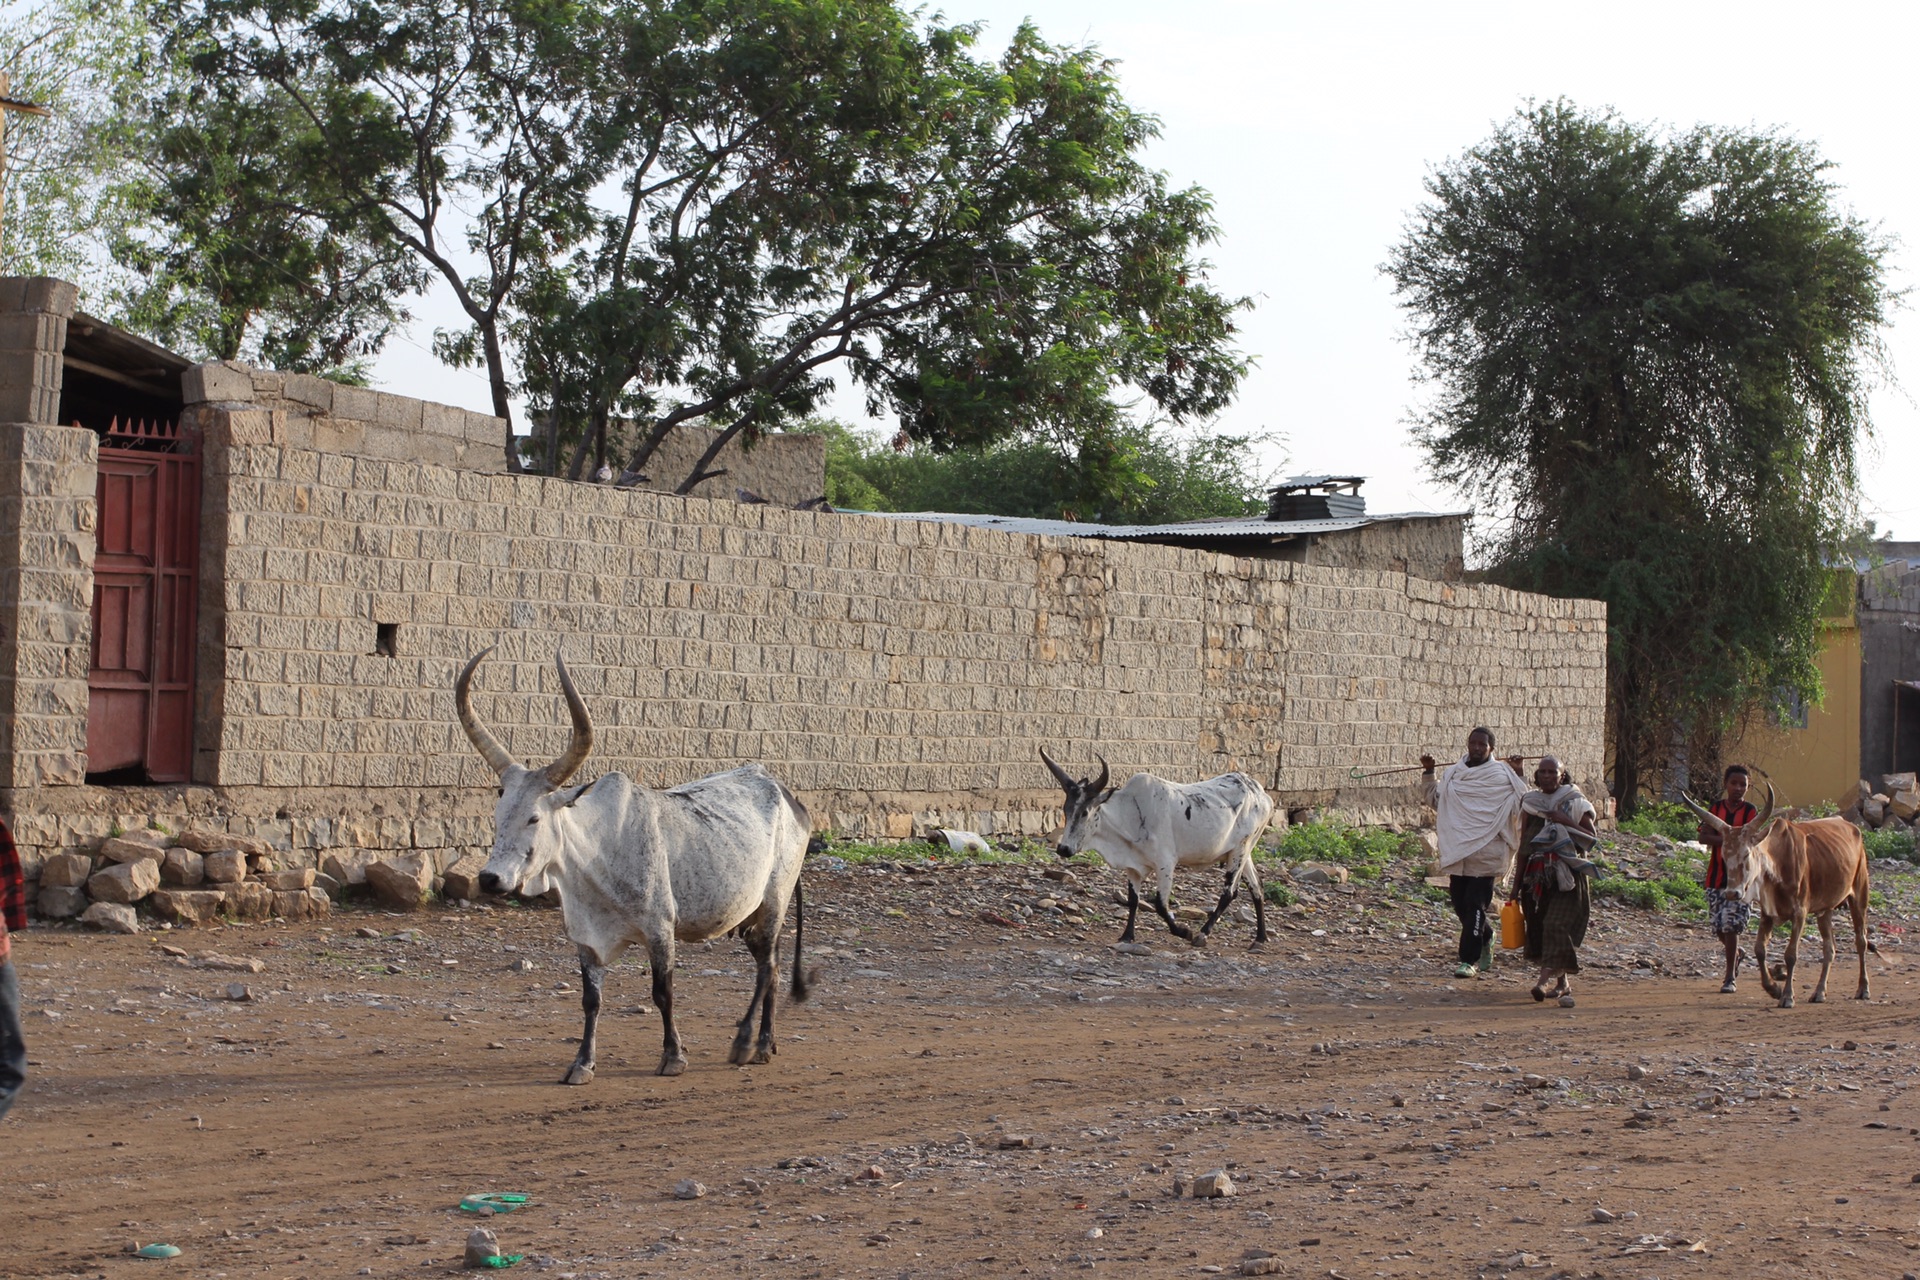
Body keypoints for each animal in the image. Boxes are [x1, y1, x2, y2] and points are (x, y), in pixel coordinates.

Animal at [460, 652, 814, 1082]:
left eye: (534, 818)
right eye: (497, 817)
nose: (490, 878)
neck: (596, 856)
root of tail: (788, 795)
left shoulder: (660, 930)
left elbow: (663, 993)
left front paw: (673, 1056)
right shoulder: (586, 940)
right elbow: (591, 1000)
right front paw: (582, 1063)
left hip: (774, 902)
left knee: (767, 967)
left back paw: (749, 1044)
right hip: (747, 916)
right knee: (773, 968)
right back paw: (767, 1042)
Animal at [1036, 744, 1274, 948]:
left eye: (1085, 812)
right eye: (1066, 810)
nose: (1063, 849)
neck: (1129, 814)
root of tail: (1261, 793)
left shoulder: (1165, 863)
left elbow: (1160, 904)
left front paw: (1184, 931)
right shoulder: (1133, 867)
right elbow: (1133, 900)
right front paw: (1127, 936)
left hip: (1240, 850)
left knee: (1229, 892)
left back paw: (1202, 934)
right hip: (1243, 853)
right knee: (1257, 887)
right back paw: (1260, 938)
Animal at [1681, 782, 1873, 1013]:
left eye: (1747, 854)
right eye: (1724, 856)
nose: (1732, 893)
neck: (1777, 863)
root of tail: (1851, 827)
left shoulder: (1800, 912)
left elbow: (1790, 955)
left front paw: (1787, 996)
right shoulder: (1767, 913)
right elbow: (1759, 950)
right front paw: (1774, 989)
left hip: (1859, 894)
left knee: (1861, 941)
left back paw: (1863, 989)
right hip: (1824, 909)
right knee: (1829, 949)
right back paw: (1819, 992)